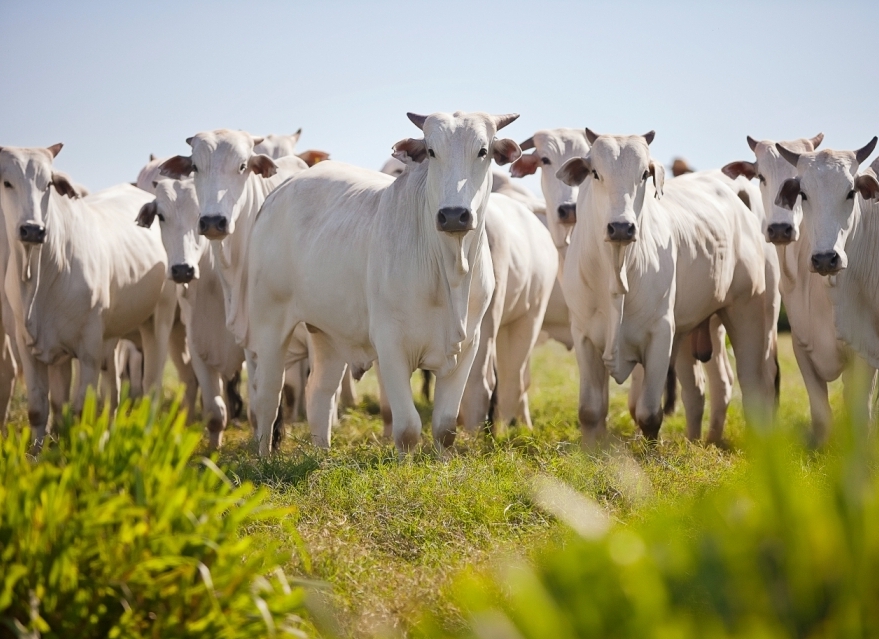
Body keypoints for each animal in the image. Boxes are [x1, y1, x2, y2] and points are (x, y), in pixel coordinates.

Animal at [0, 145, 177, 444]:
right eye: (6, 182)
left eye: (48, 183)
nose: (33, 229)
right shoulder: (31, 348)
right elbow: (43, 410)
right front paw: (39, 452)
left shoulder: (88, 349)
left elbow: (81, 410)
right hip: (112, 337)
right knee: (113, 391)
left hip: (158, 321)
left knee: (150, 387)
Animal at [242, 112, 524, 458]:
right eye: (431, 151)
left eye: (483, 151)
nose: (454, 215)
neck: (450, 270)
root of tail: (279, 192)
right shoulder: (390, 345)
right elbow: (407, 428)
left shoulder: (468, 345)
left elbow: (445, 428)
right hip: (269, 323)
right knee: (267, 396)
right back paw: (263, 458)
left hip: (327, 333)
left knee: (319, 392)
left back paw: (322, 456)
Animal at [556, 129, 776, 440]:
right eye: (595, 173)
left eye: (644, 174)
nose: (621, 227)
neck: (616, 271)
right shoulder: (584, 335)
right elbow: (590, 411)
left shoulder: (661, 333)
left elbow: (649, 414)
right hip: (694, 329)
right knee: (703, 389)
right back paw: (702, 441)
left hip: (750, 313)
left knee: (754, 384)